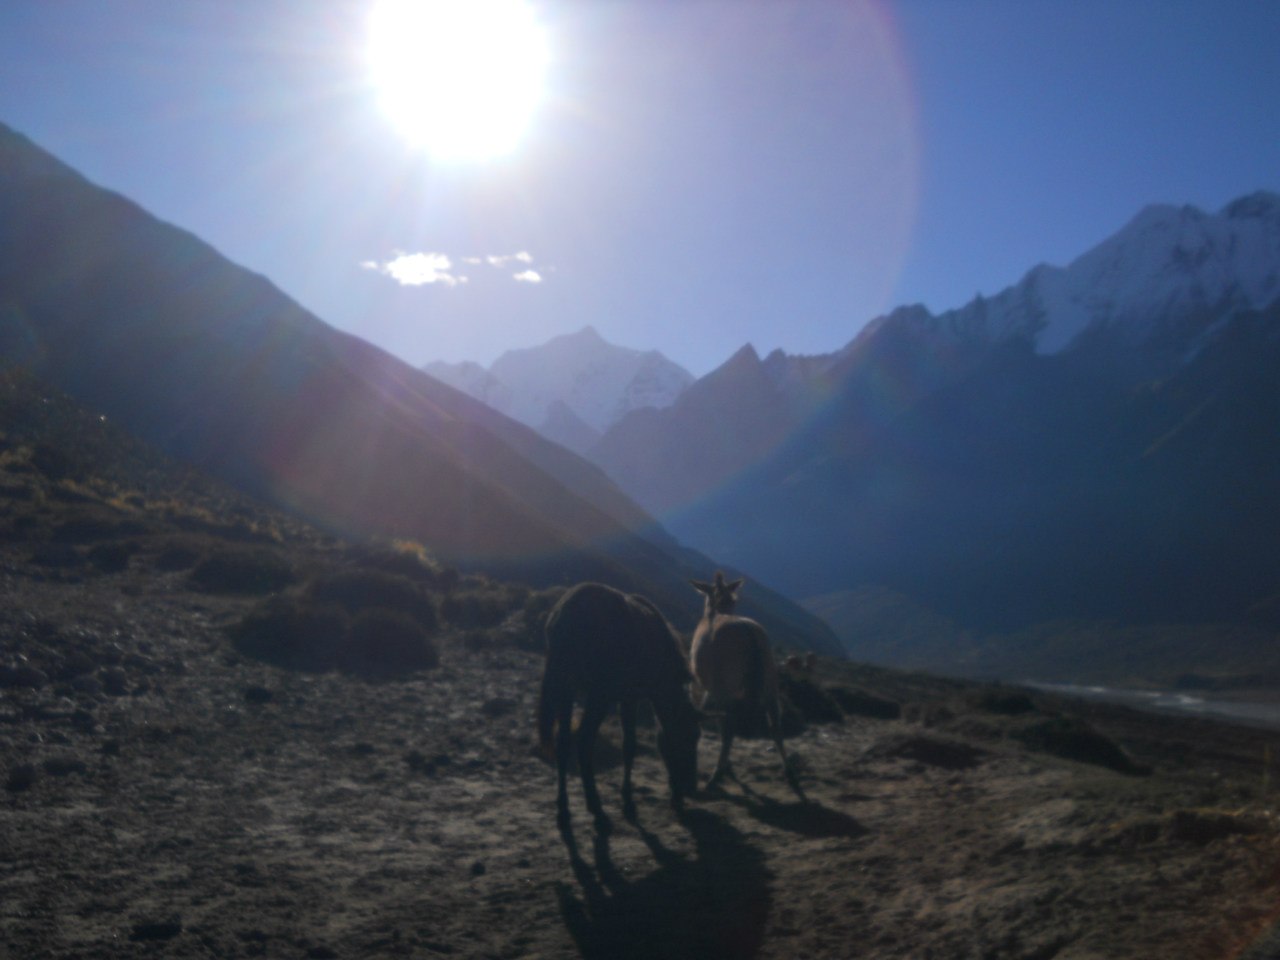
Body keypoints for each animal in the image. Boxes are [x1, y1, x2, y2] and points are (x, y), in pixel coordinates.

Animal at [537, 583, 706, 829]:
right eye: (689, 736)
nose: (690, 788)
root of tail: (566, 613)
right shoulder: (629, 698)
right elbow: (629, 746)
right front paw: (627, 800)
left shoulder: (625, 699)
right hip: (597, 696)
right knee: (584, 742)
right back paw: (595, 806)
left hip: (565, 687)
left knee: (563, 741)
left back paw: (563, 807)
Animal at [691, 570, 798, 803]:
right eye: (735, 599)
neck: (718, 609)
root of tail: (750, 633)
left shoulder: (705, 685)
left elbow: (710, 718)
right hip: (770, 682)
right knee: (775, 725)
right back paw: (789, 771)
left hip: (726, 684)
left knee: (728, 727)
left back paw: (715, 776)